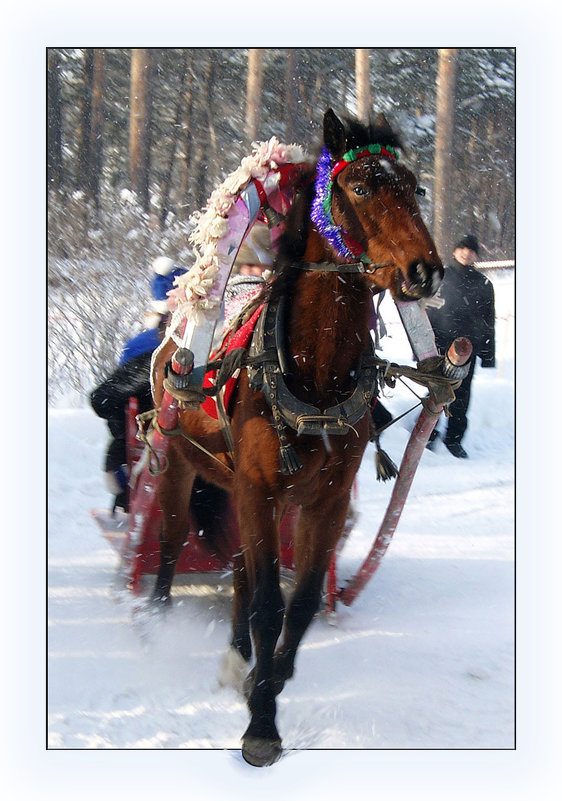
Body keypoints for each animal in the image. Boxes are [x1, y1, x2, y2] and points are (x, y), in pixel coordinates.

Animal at [149, 108, 442, 764]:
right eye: (360, 186)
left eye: (416, 187)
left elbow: (300, 604)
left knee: (237, 568)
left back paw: (240, 658)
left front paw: (270, 681)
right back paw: (152, 616)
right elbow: (268, 602)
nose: (427, 271)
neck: (314, 375)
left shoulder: (322, 502)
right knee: (174, 541)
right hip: (183, 464)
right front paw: (261, 721)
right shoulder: (259, 490)